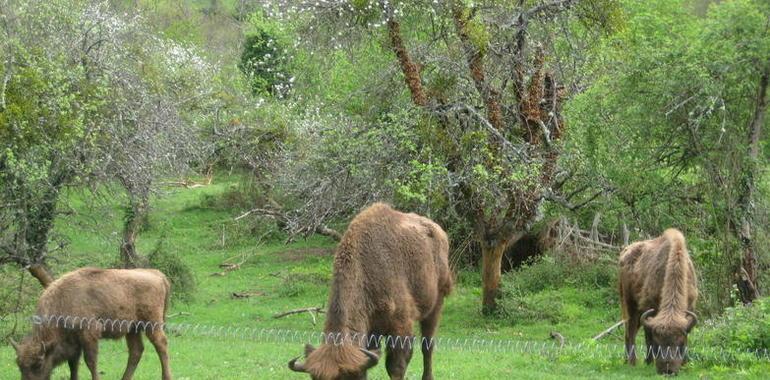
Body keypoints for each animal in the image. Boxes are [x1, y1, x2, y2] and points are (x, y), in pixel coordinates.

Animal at [11, 268, 172, 380]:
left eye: (38, 364)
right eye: (19, 364)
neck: (63, 300)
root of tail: (158, 275)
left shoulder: (89, 335)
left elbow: (90, 362)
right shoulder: (74, 343)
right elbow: (73, 364)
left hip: (152, 324)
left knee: (161, 345)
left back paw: (166, 377)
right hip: (132, 329)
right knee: (136, 351)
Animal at [292, 203, 452, 380]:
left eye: (345, 378)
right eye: (313, 378)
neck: (364, 269)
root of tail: (439, 231)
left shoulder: (400, 326)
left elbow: (396, 366)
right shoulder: (371, 331)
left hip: (436, 303)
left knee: (427, 346)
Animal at [616, 229, 696, 374]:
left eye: (679, 343)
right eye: (658, 343)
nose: (667, 370)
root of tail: (625, 252)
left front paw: (685, 363)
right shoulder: (650, 308)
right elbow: (649, 337)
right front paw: (648, 362)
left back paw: (626, 360)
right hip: (629, 304)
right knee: (630, 330)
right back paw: (631, 361)